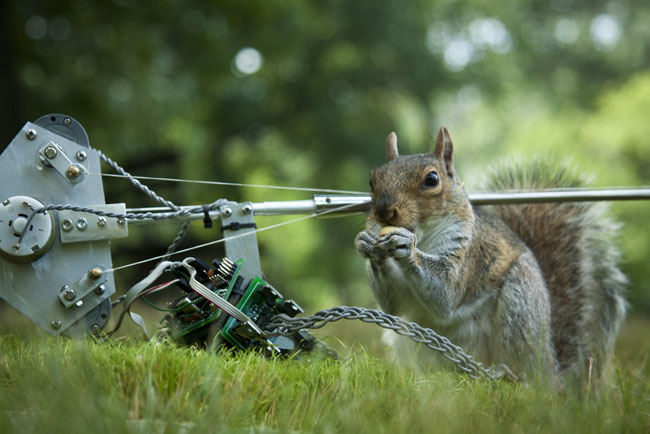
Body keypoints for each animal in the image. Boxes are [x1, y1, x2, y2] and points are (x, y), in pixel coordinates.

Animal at [356, 128, 624, 384]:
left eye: (432, 179)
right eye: (372, 180)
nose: (383, 212)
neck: (423, 236)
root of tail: (552, 367)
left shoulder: (472, 253)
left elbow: (447, 294)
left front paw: (406, 247)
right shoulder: (400, 305)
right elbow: (394, 305)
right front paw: (367, 245)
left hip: (521, 306)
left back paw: (512, 377)